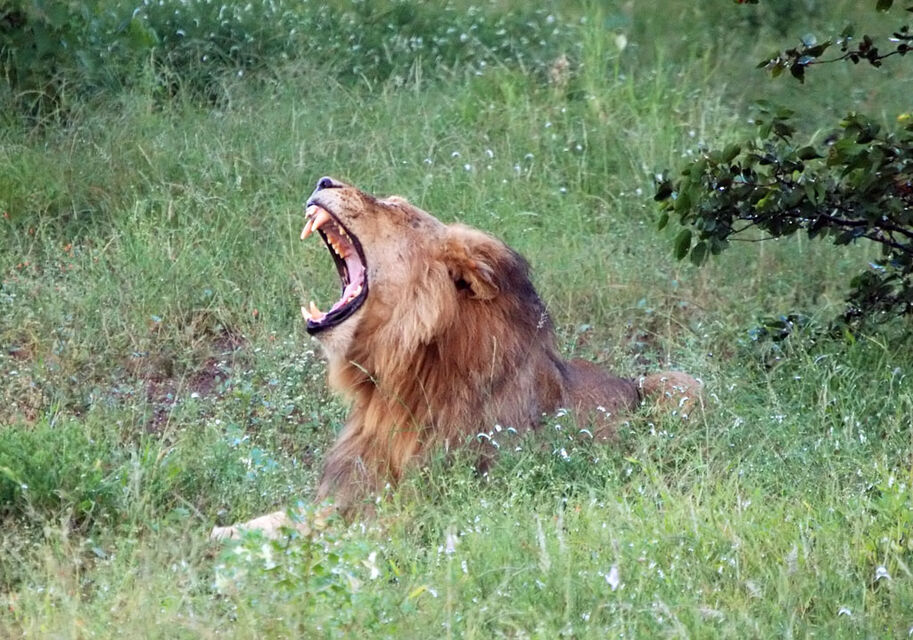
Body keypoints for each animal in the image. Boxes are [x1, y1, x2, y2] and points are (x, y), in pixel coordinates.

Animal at [211, 176, 701, 540]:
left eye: (398, 210)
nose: (324, 180)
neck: (393, 387)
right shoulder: (351, 490)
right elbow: (280, 521)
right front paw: (218, 537)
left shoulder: (428, 507)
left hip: (675, 381)